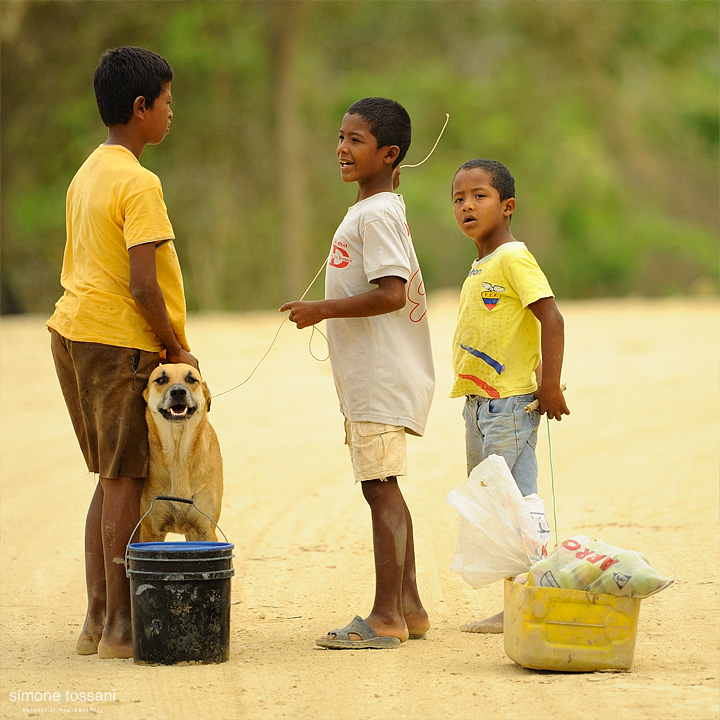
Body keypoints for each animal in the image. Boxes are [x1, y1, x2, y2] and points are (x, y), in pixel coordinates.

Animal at [139, 366, 221, 540]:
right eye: (161, 380)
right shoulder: (151, 531)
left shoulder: (205, 530)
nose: (178, 392)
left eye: (191, 379)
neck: (178, 453)